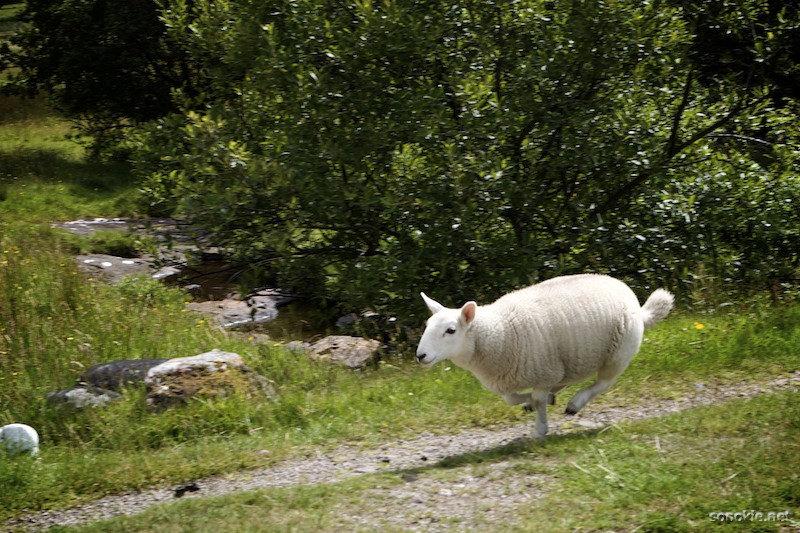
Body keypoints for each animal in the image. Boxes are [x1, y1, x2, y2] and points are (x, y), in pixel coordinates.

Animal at [416, 272, 672, 438]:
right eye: (427, 325)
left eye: (451, 330)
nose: (420, 356)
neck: (499, 332)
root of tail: (640, 309)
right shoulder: (526, 373)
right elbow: (511, 398)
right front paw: (532, 403)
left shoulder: (542, 368)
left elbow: (537, 398)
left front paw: (540, 429)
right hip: (573, 357)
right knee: (568, 379)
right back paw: (554, 396)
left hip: (618, 353)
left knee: (603, 383)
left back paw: (575, 403)